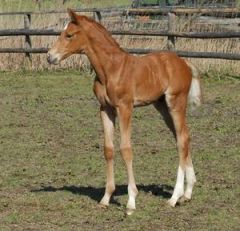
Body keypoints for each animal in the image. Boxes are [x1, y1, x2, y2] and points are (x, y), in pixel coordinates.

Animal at [47, 9, 201, 215]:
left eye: (69, 35)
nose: (49, 57)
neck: (111, 69)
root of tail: (185, 63)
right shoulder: (105, 109)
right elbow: (109, 149)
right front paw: (105, 198)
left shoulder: (125, 108)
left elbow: (126, 149)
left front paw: (131, 201)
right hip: (162, 106)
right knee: (183, 136)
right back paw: (187, 193)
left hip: (175, 102)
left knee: (182, 140)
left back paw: (174, 198)